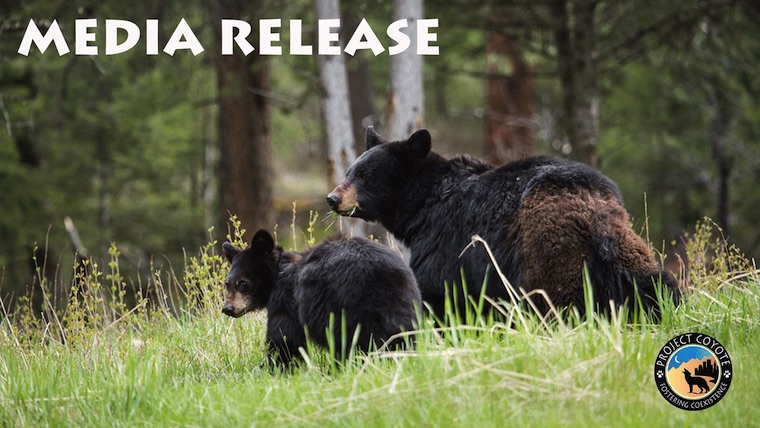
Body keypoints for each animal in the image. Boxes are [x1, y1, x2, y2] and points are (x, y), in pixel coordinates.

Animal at [222, 229, 421, 366]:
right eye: (227, 283)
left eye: (242, 283)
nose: (227, 308)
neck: (278, 273)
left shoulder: (286, 300)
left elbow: (284, 338)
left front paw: (274, 367)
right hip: (405, 305)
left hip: (345, 308)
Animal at [326, 127, 681, 321]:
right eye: (350, 171)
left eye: (364, 175)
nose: (332, 198)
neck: (423, 205)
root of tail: (592, 209)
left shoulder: (445, 240)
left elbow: (437, 290)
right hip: (625, 248)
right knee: (654, 283)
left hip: (549, 249)